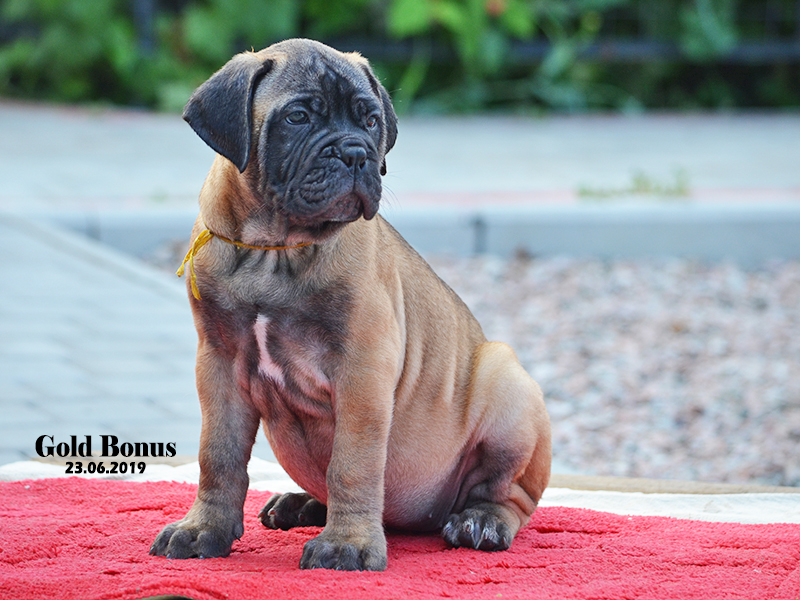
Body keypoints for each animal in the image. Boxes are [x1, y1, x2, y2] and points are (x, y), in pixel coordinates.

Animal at [148, 37, 552, 572]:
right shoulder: (218, 364)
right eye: (298, 117)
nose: (357, 152)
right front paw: (202, 530)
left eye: (371, 120)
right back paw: (301, 503)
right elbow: (218, 455)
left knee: (510, 495)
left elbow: (353, 463)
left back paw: (480, 521)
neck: (275, 248)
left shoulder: (362, 372)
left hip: (506, 384)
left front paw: (348, 544)